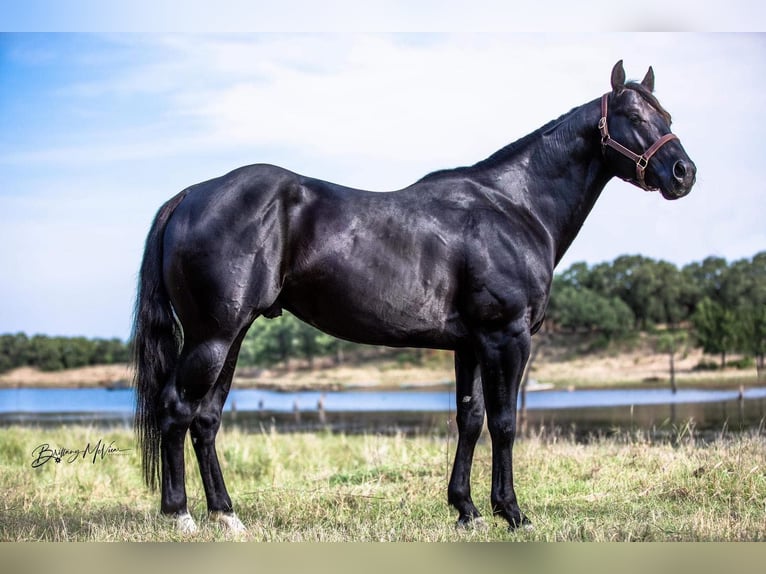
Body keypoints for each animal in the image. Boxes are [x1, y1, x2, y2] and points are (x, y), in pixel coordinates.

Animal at [132, 60, 696, 532]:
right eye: (632, 115)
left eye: (666, 113)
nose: (683, 173)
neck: (515, 207)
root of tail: (191, 195)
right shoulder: (507, 337)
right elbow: (505, 423)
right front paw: (512, 513)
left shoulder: (471, 344)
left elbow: (469, 420)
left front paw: (466, 510)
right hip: (212, 336)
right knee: (176, 409)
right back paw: (180, 516)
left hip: (232, 337)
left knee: (206, 420)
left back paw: (227, 516)